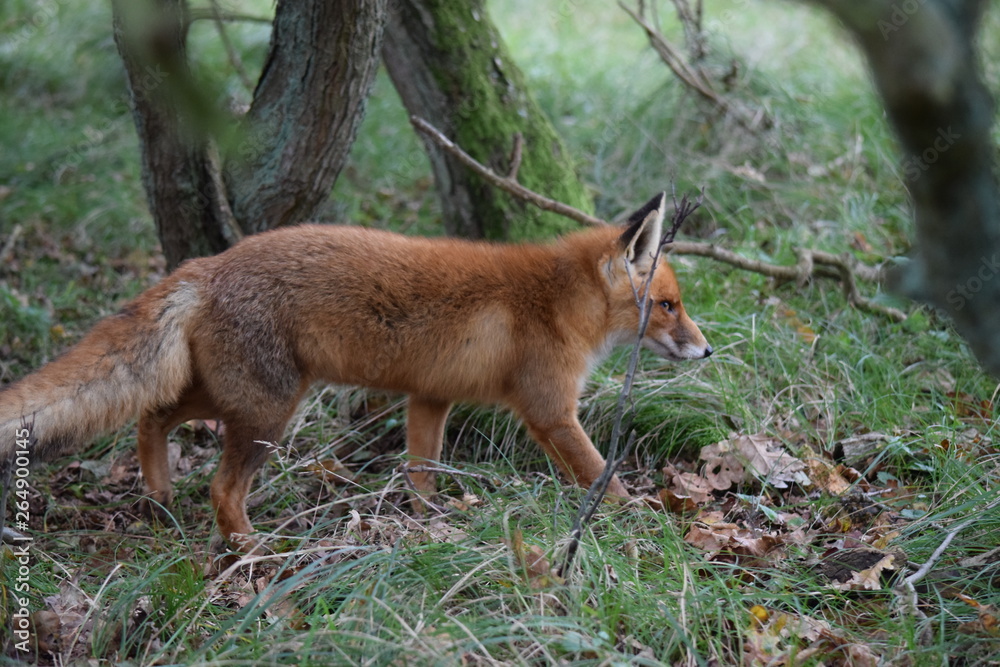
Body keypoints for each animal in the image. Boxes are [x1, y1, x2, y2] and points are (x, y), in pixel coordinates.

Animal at [3, 192, 716, 544]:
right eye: (669, 305)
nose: (707, 351)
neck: (556, 304)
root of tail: (208, 264)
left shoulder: (430, 399)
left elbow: (422, 471)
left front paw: (429, 524)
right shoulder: (551, 413)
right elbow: (601, 476)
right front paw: (639, 519)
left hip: (233, 396)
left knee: (151, 415)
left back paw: (159, 497)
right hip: (269, 413)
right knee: (221, 488)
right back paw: (252, 553)